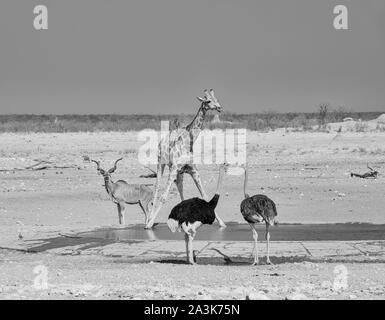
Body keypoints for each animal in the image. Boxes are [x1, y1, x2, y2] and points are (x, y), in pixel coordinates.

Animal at [146, 90, 226, 229]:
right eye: (208, 100)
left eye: (216, 98)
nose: (219, 108)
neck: (188, 141)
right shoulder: (173, 169)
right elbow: (163, 197)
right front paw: (149, 224)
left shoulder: (193, 171)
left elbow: (205, 196)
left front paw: (221, 223)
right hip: (162, 164)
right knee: (156, 190)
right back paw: (149, 219)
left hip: (180, 173)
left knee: (180, 190)